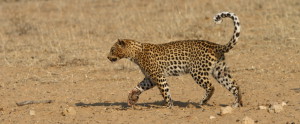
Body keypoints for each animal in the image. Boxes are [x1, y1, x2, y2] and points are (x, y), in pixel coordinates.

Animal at [106, 11, 243, 108]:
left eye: (112, 49)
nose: (107, 57)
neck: (135, 53)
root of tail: (216, 45)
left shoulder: (158, 76)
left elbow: (165, 91)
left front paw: (169, 107)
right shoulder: (150, 78)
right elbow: (140, 86)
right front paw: (132, 95)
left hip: (198, 72)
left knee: (211, 86)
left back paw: (202, 102)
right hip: (220, 71)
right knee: (234, 85)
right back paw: (237, 104)